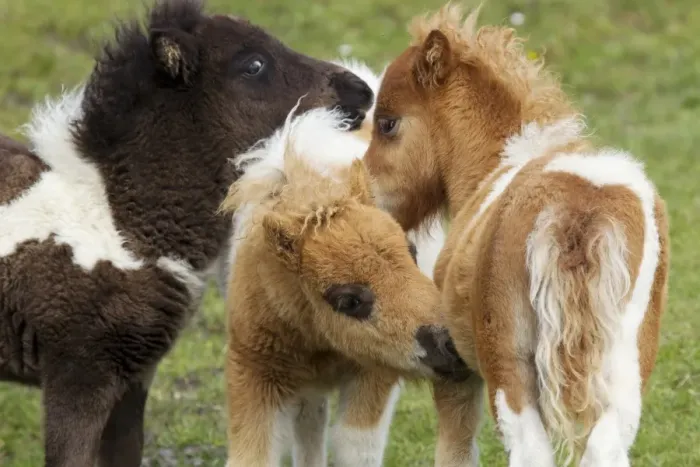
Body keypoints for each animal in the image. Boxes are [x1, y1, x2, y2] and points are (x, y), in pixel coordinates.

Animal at [363, 5, 669, 466]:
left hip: (510, 374)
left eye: (387, 123)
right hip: (625, 377)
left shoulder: (455, 371)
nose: (368, 201)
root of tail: (577, 210)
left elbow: (454, 451)